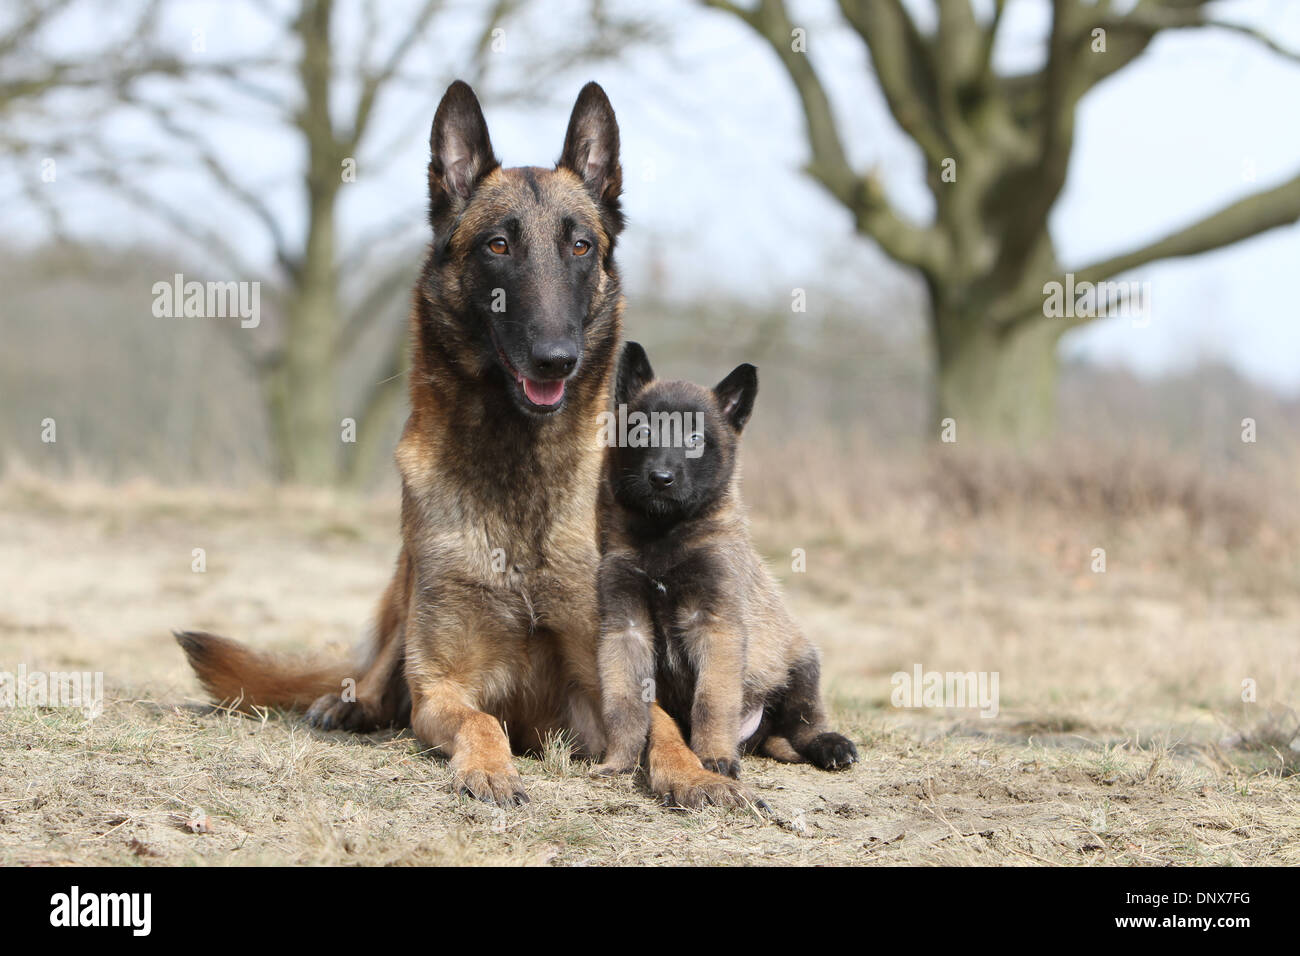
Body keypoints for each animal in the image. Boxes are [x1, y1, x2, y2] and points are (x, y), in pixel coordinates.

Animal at [172, 80, 754, 806]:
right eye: (499, 246)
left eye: (580, 247)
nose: (555, 358)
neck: (517, 468)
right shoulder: (443, 687)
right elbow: (480, 719)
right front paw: (489, 767)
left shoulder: (602, 681)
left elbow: (660, 722)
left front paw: (695, 771)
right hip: (403, 589)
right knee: (377, 667)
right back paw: (349, 703)